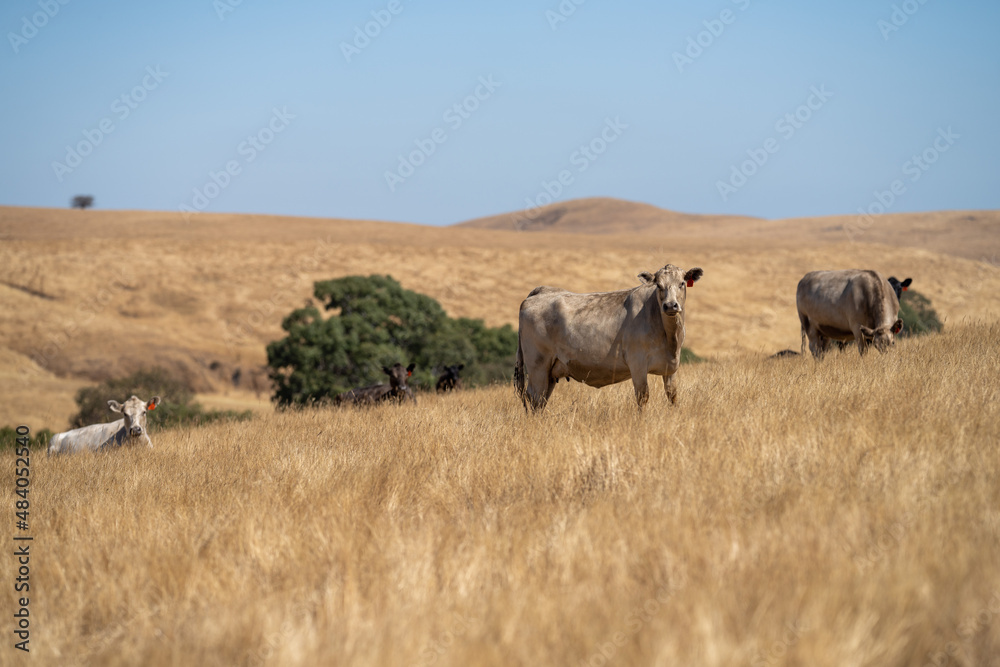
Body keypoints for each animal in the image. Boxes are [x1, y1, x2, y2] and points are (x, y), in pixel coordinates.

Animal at [516, 264, 704, 412]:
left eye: (682, 283)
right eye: (658, 285)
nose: (670, 305)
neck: (670, 338)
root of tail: (541, 291)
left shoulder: (670, 367)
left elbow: (672, 395)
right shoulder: (637, 363)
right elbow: (642, 396)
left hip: (550, 371)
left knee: (541, 401)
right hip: (538, 366)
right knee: (534, 397)